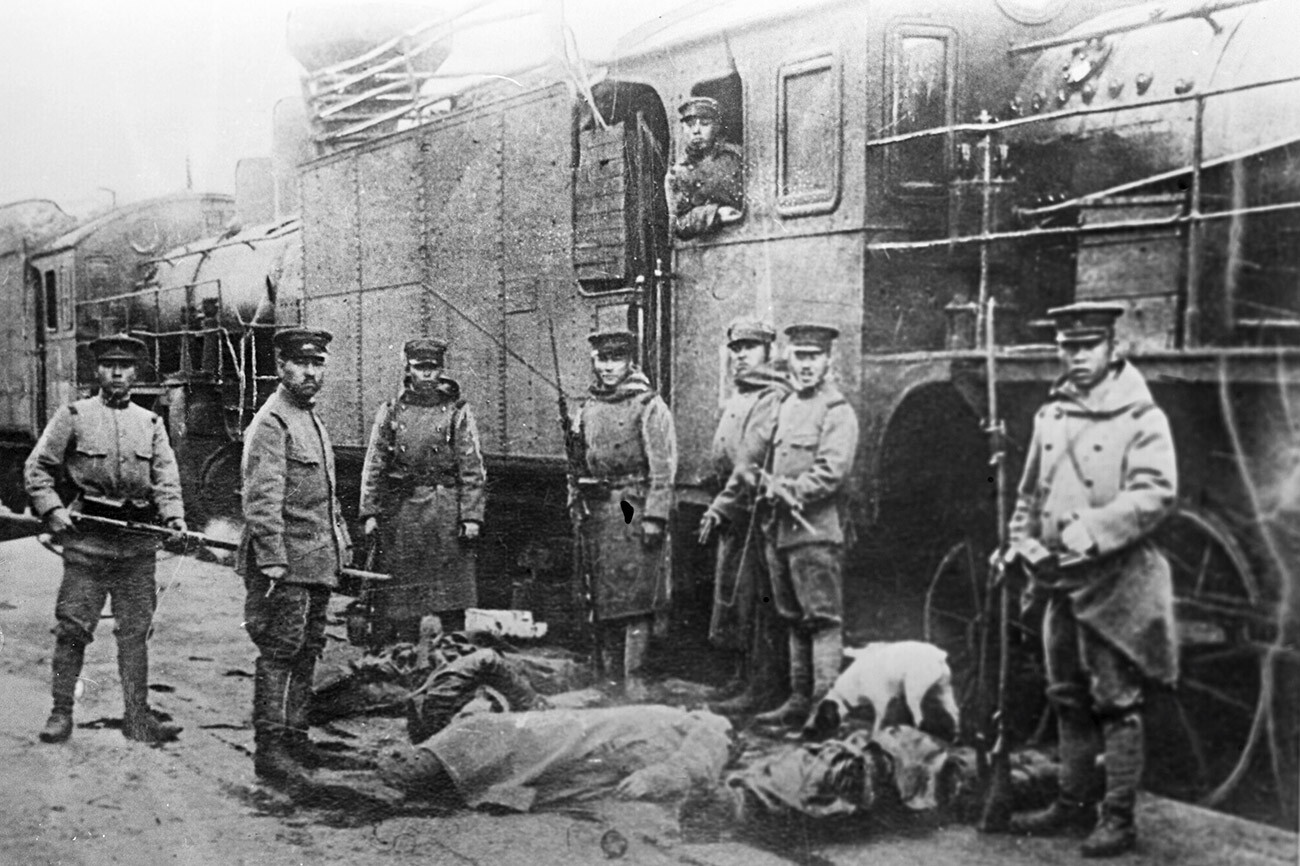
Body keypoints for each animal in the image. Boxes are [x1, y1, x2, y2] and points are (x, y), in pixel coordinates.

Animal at [795, 637, 961, 738]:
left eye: (822, 717)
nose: (805, 730)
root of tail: (939, 655)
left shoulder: (881, 702)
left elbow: (877, 725)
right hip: (943, 691)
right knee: (955, 712)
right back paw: (956, 736)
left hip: (914, 693)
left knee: (920, 718)